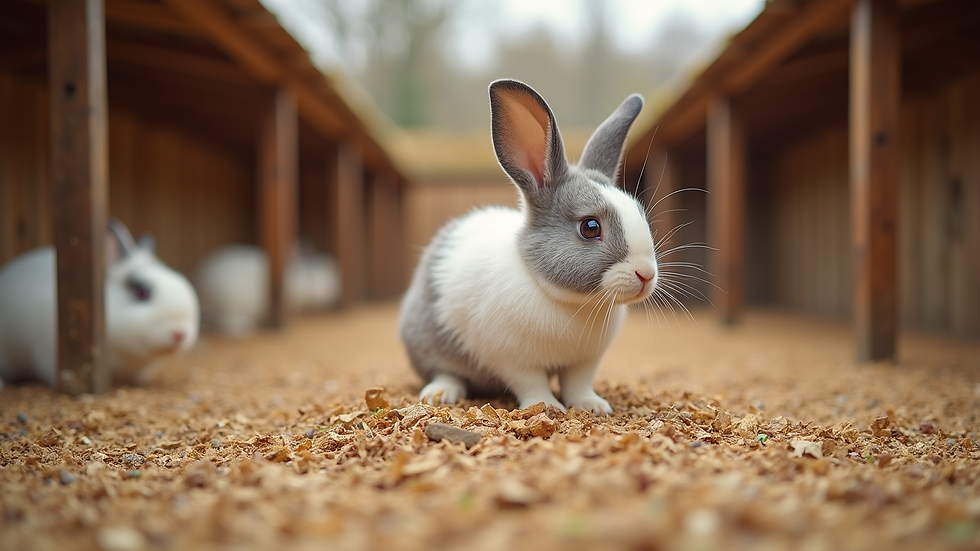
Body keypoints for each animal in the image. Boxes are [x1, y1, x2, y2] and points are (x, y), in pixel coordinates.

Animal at [399, 79, 657, 415]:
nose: (646, 275)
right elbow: (531, 383)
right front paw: (547, 407)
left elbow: (578, 384)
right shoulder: (512, 359)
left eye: (638, 211)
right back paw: (440, 393)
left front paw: (593, 406)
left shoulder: (585, 361)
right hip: (428, 342)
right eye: (590, 227)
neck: (570, 302)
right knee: (445, 371)